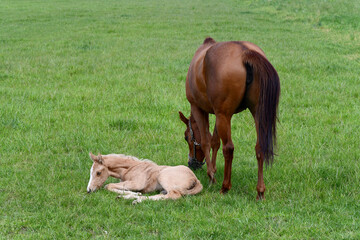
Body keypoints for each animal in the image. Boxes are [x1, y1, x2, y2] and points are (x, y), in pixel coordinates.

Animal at [179, 37, 280, 199]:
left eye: (186, 137)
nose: (192, 163)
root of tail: (245, 52)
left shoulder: (199, 108)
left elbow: (206, 141)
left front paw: (211, 175)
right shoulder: (218, 113)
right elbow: (215, 141)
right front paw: (213, 169)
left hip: (223, 115)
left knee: (229, 148)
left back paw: (225, 187)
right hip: (254, 114)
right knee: (259, 148)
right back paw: (260, 191)